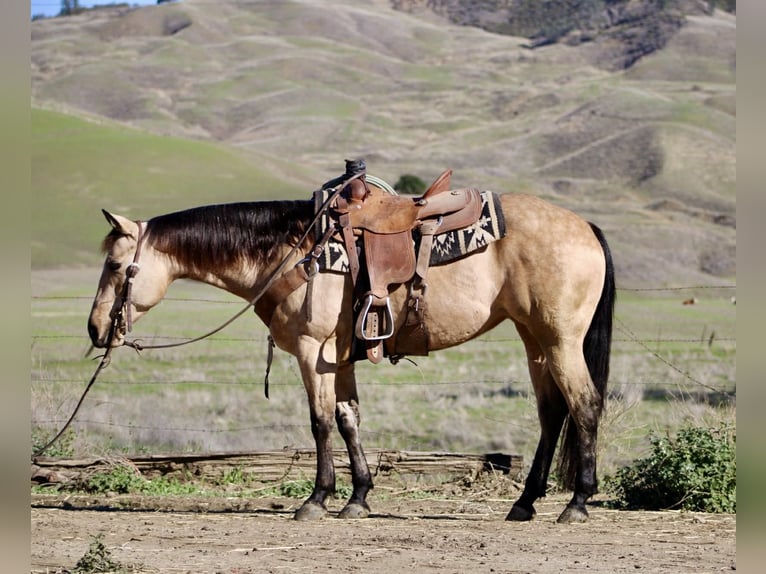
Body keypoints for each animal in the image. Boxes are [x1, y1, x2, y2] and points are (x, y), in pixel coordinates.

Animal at [87, 187, 615, 524]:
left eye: (115, 265)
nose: (95, 329)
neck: (292, 253)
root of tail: (584, 226)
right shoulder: (337, 359)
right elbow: (347, 419)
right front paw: (358, 497)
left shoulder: (311, 351)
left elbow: (320, 422)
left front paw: (317, 498)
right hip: (534, 340)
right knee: (552, 412)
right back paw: (524, 503)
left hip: (560, 339)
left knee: (584, 404)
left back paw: (577, 503)